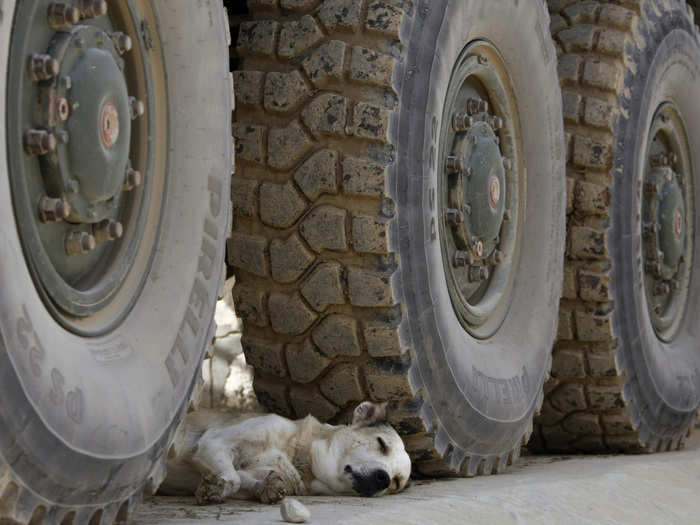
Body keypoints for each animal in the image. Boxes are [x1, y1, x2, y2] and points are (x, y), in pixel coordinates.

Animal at [161, 402, 412, 504]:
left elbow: (245, 479)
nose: (383, 478)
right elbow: (232, 478)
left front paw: (266, 488)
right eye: (381, 443)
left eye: (396, 483)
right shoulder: (212, 442)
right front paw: (215, 488)